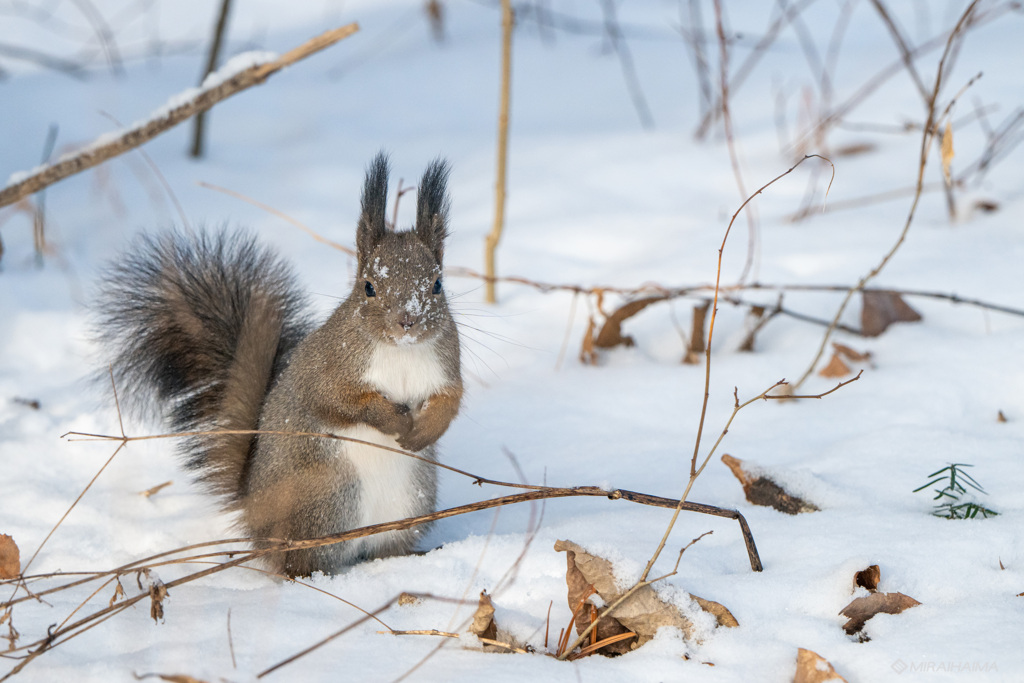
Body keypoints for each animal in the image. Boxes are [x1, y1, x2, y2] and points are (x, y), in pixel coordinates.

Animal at [96, 153, 464, 577]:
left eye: (438, 284)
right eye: (369, 287)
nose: (407, 321)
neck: (401, 351)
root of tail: (256, 519)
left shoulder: (446, 365)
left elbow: (450, 400)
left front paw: (425, 431)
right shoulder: (328, 368)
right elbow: (339, 401)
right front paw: (394, 420)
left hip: (410, 503)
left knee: (384, 550)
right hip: (324, 499)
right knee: (298, 561)